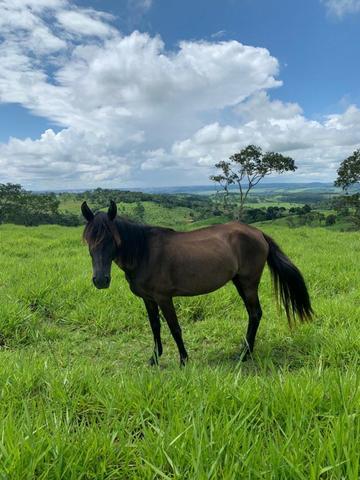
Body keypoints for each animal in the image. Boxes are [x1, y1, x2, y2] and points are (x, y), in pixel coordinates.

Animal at [81, 201, 312, 366]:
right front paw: (154, 358)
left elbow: (174, 328)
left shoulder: (164, 298)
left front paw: (184, 360)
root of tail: (258, 233)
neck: (144, 252)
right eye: (89, 240)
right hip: (239, 282)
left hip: (248, 283)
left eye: (113, 239)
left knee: (255, 314)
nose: (100, 280)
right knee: (253, 314)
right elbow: (155, 327)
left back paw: (244, 354)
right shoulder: (148, 299)